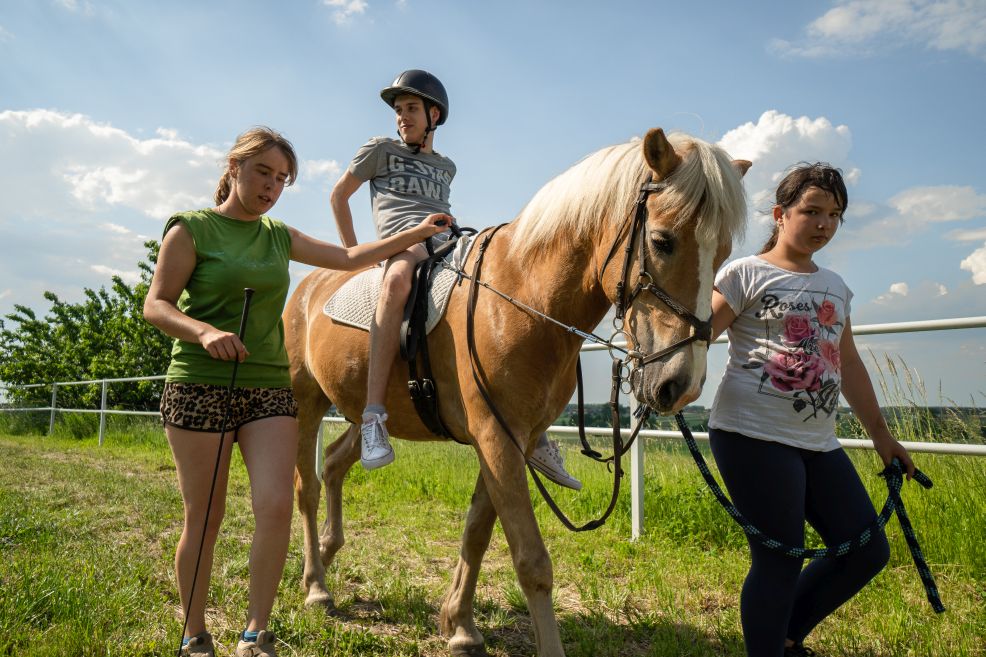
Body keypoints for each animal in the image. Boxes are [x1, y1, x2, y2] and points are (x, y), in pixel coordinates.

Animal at [282, 128, 744, 656]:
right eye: (663, 242)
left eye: (723, 252)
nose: (681, 384)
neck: (522, 296)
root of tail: (309, 286)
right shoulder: (496, 437)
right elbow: (531, 560)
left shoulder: (510, 437)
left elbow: (477, 532)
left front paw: (460, 626)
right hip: (307, 401)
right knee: (307, 486)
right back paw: (316, 584)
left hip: (364, 414)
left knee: (335, 462)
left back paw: (328, 552)